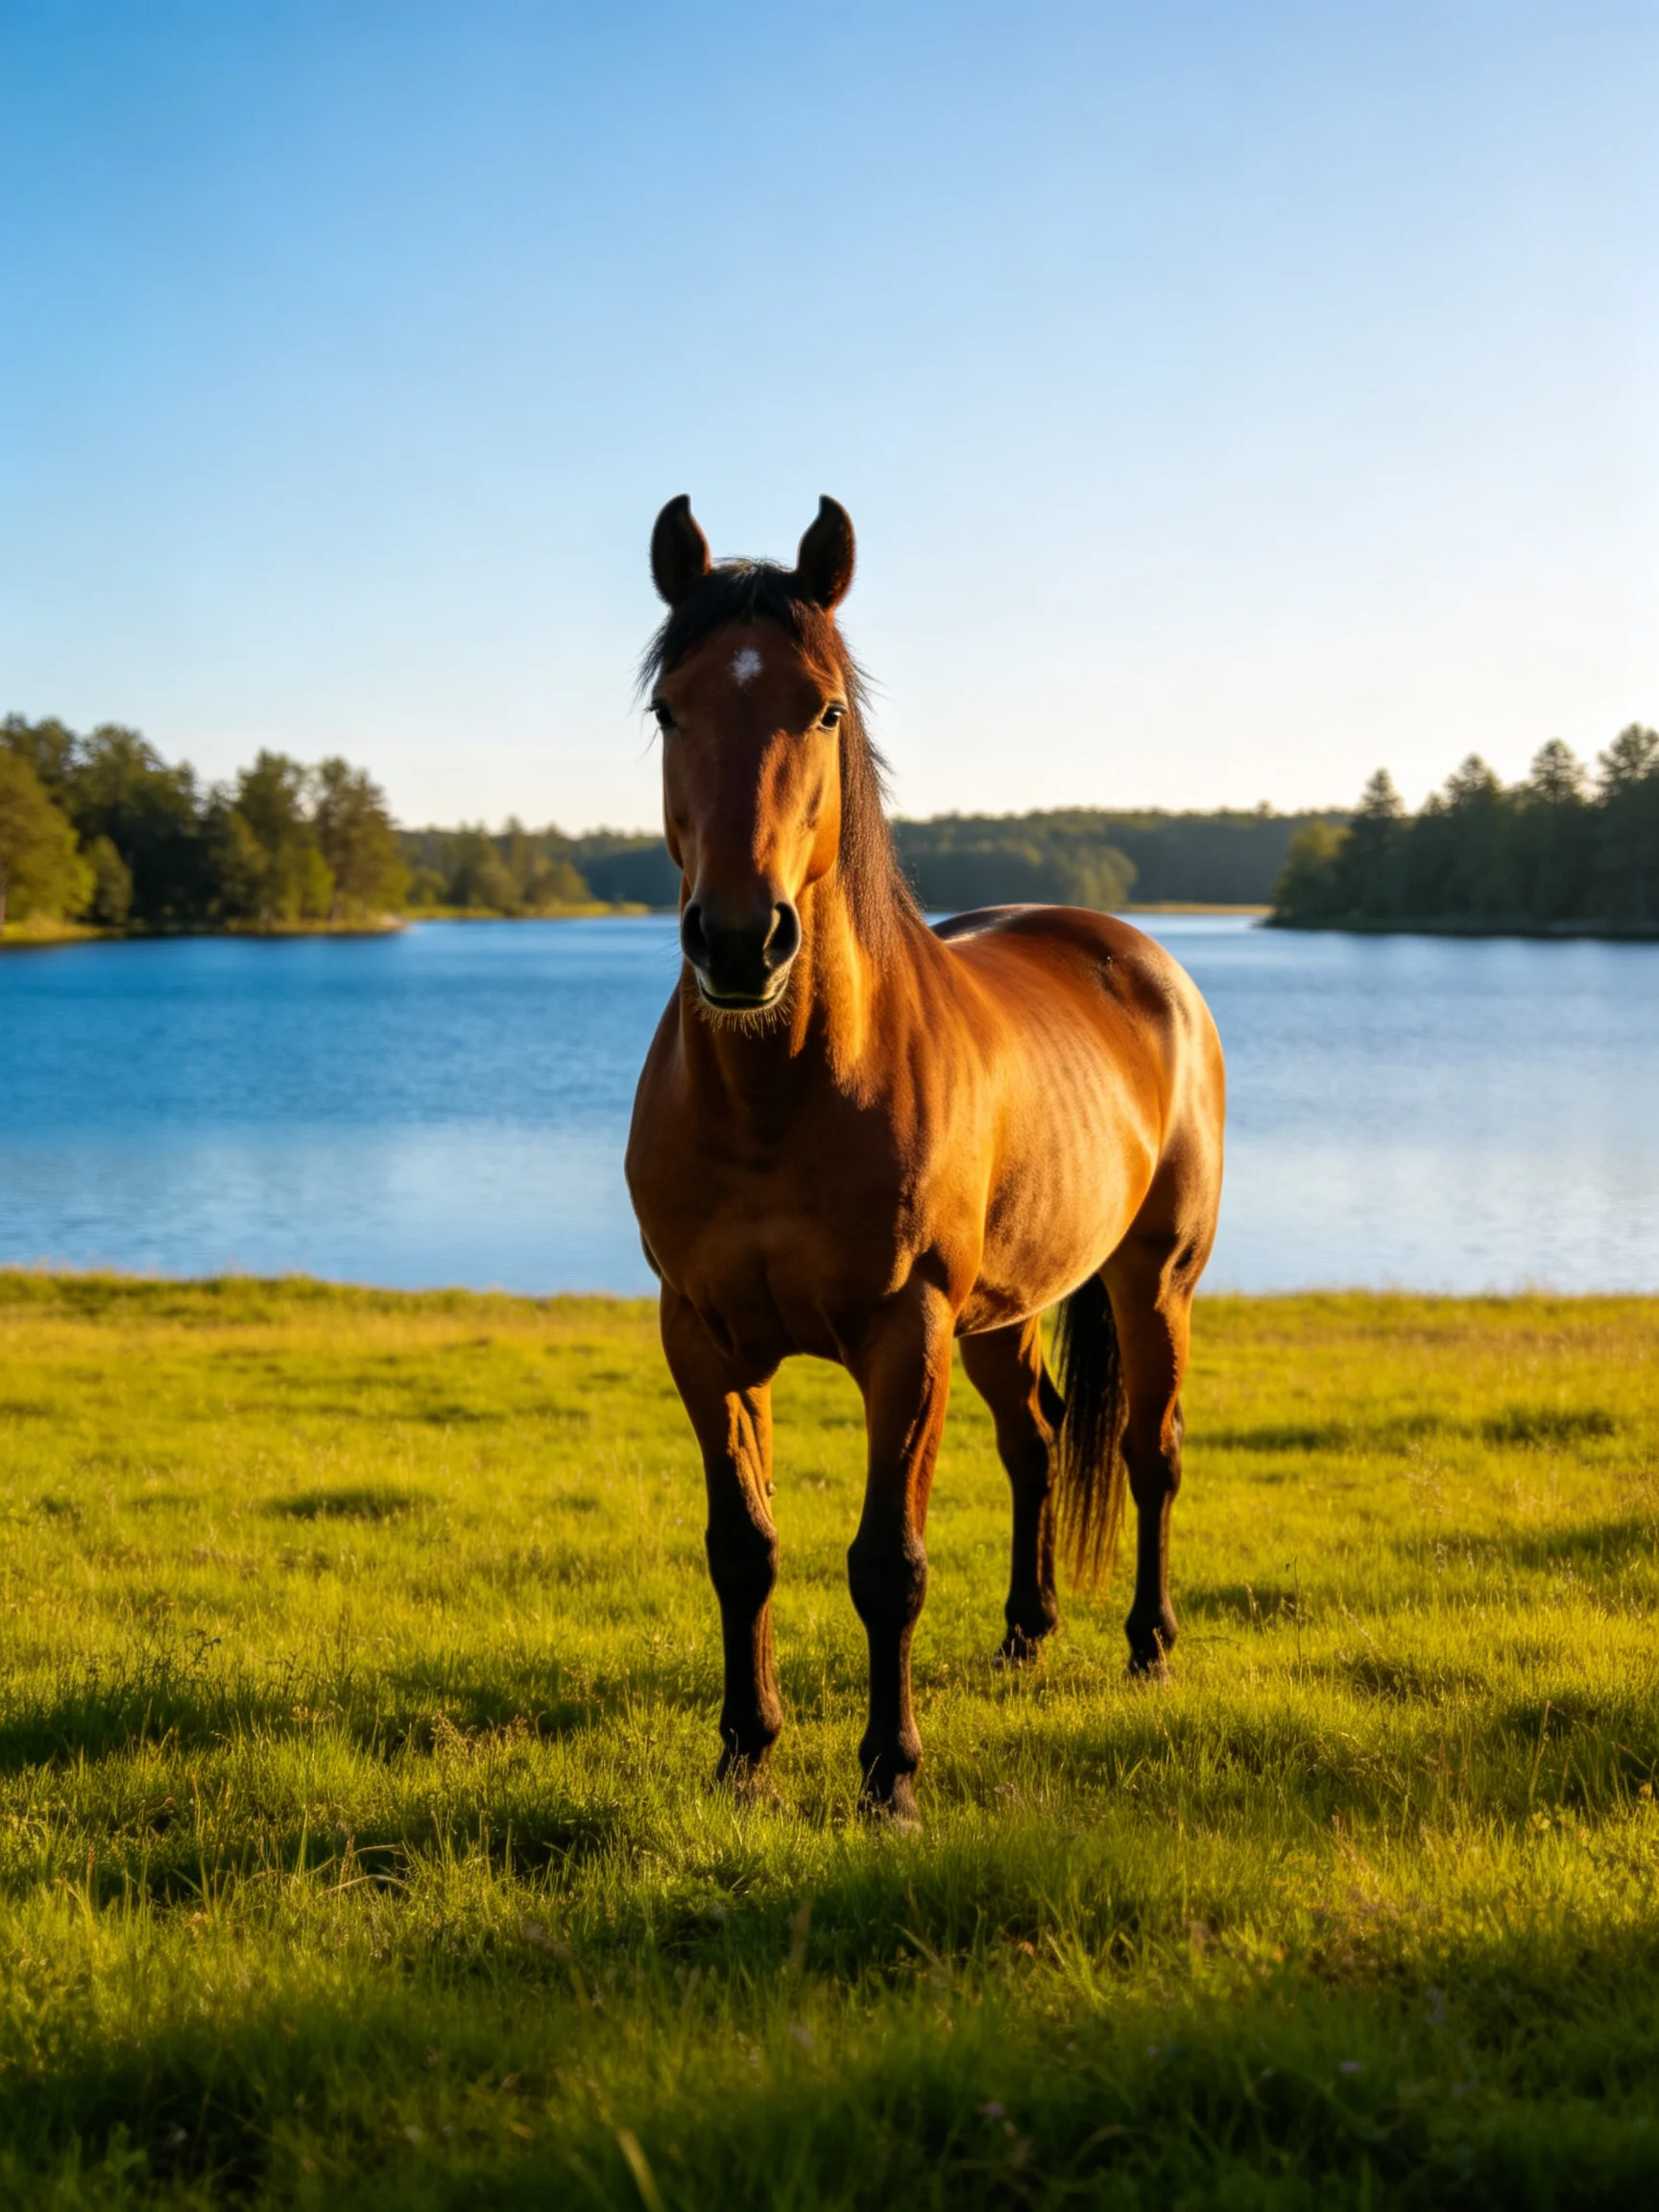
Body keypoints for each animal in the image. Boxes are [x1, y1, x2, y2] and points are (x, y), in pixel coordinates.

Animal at [625, 495, 1225, 1824]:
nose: (740, 941)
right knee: (1039, 1440)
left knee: (1147, 1452)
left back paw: (1149, 1646)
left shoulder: (907, 1335)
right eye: (668, 709)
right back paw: (1025, 1631)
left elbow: (886, 1564)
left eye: (823, 709)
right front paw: (745, 1754)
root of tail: (1141, 956)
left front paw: (889, 1779)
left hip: (1150, 1281)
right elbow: (742, 1548)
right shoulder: (701, 1337)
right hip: (1002, 1314)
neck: (781, 1097)